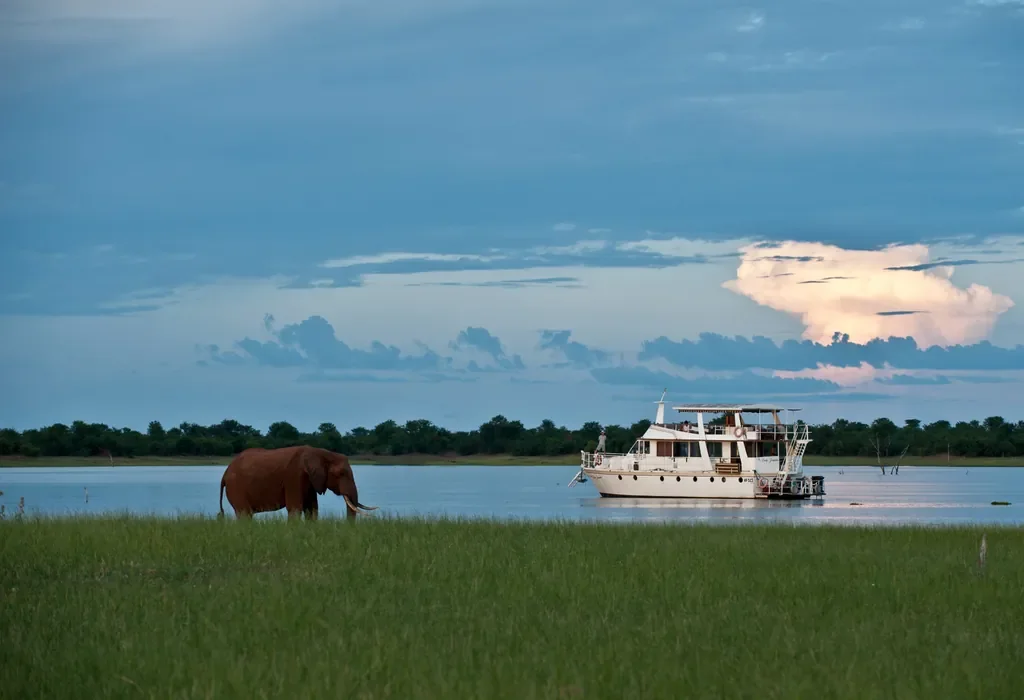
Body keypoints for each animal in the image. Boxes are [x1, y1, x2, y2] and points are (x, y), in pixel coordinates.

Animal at [218, 445, 378, 520]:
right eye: (341, 474)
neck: (321, 453)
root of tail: (225, 473)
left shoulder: (311, 480)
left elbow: (312, 509)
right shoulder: (294, 476)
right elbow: (295, 509)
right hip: (236, 487)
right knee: (244, 514)